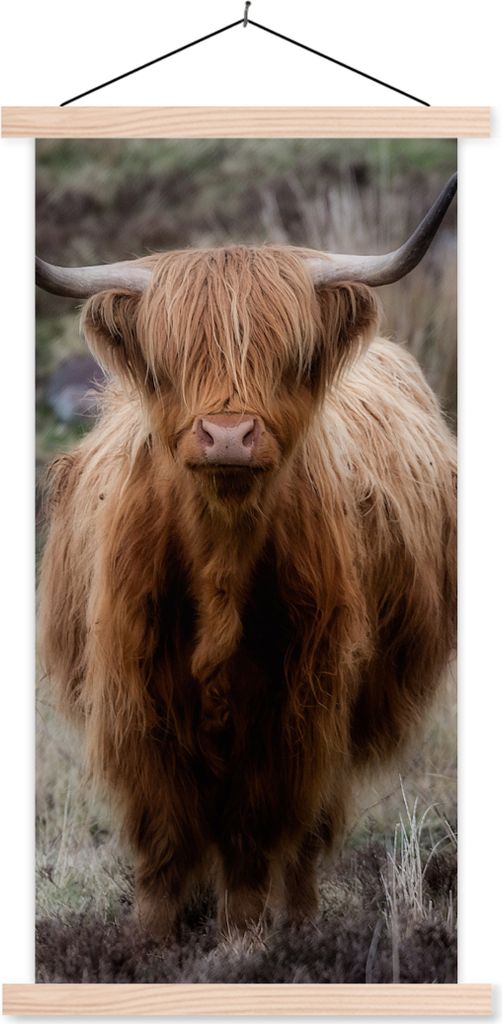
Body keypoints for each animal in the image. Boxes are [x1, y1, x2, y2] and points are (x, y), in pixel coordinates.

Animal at [37, 174, 457, 939]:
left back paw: (301, 917)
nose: (228, 435)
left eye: (286, 354)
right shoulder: (136, 699)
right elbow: (163, 836)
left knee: (311, 831)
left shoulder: (297, 705)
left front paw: (245, 936)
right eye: (173, 360)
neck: (221, 566)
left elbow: (256, 834)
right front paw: (152, 939)